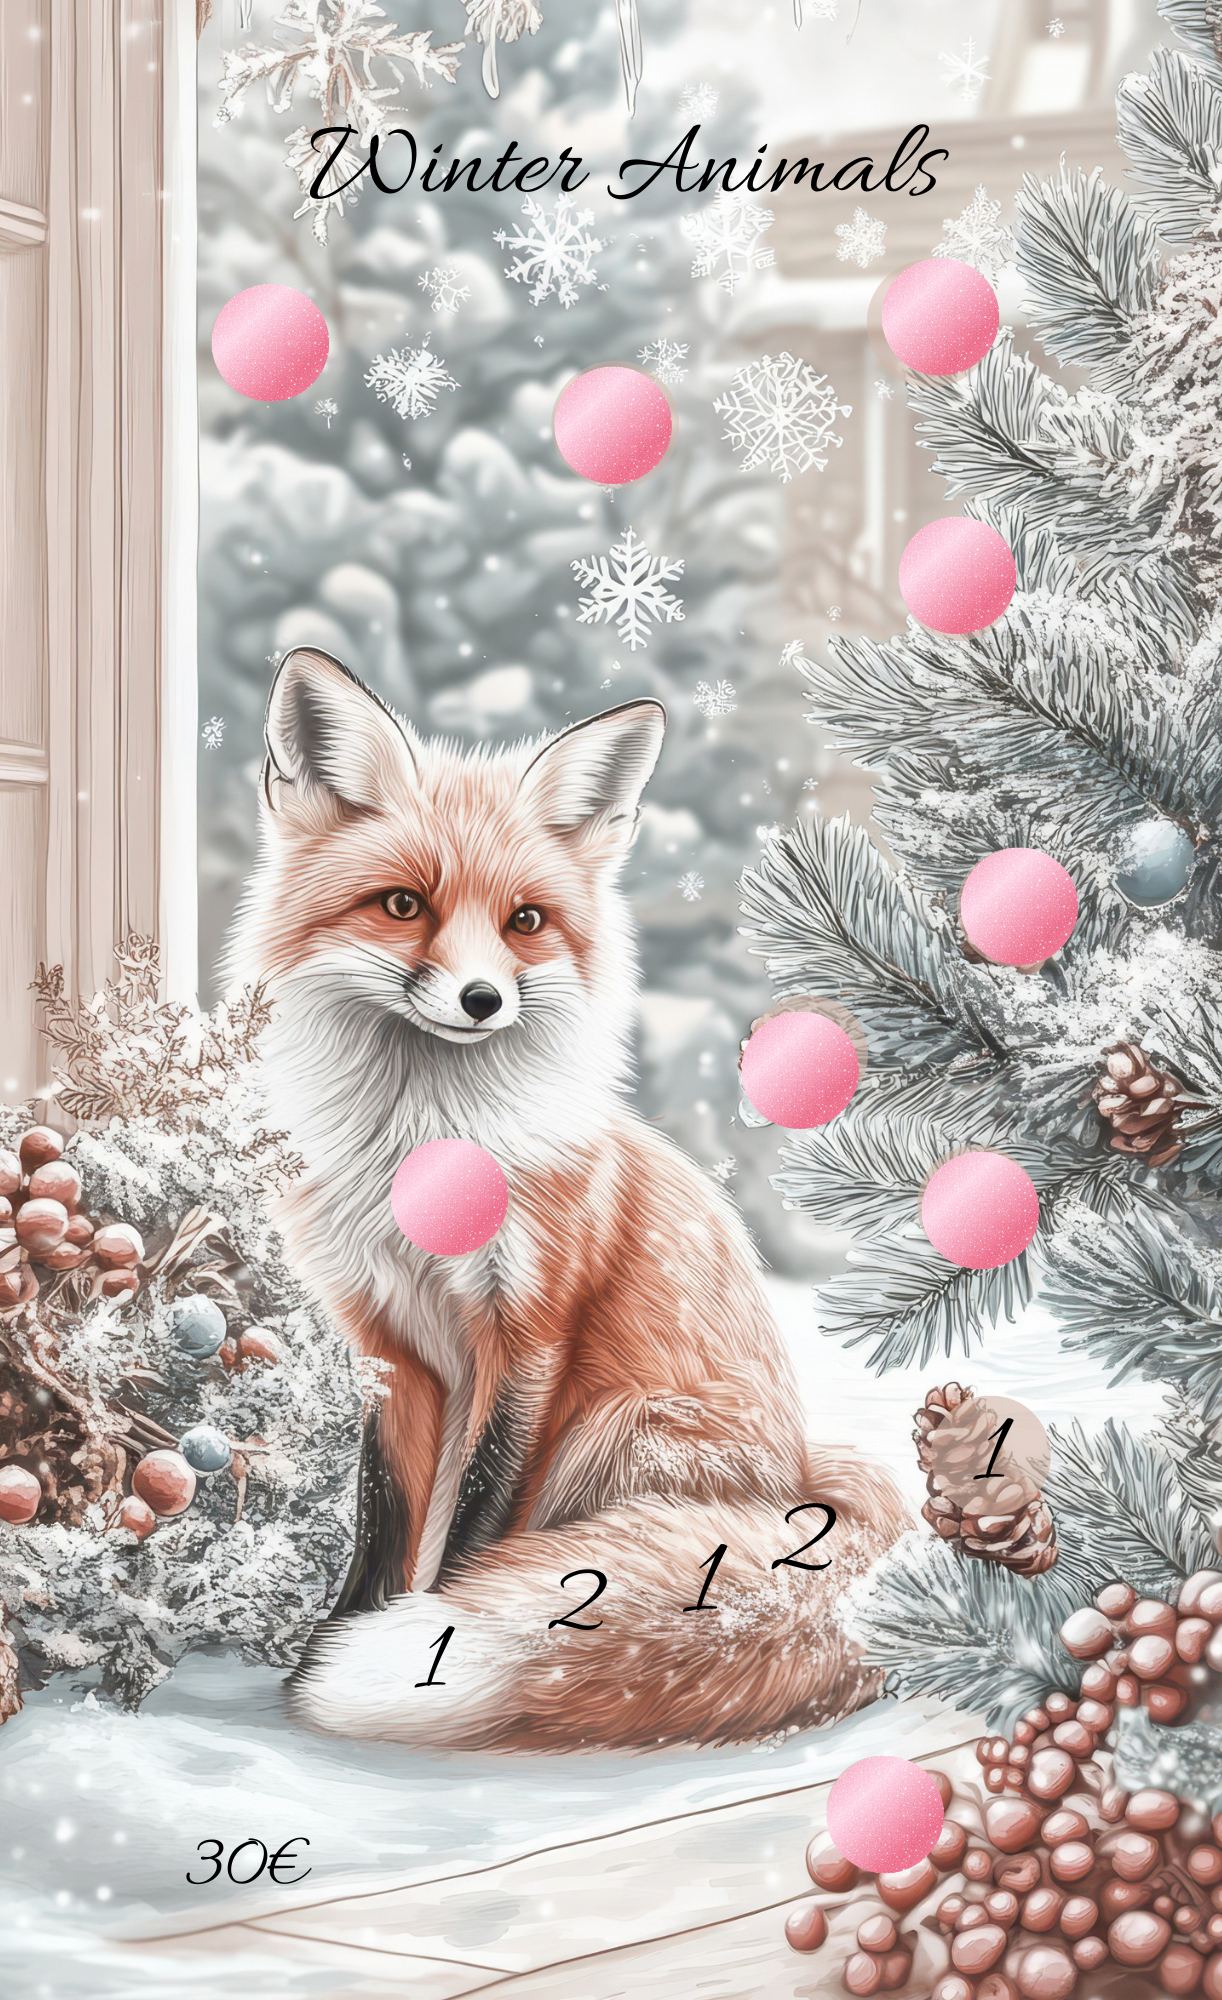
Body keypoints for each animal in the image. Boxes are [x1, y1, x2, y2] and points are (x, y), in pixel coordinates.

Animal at [229, 646, 907, 1751]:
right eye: (403, 905)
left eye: (525, 922)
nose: (481, 1000)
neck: (420, 1168)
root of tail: (805, 1473)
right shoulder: (386, 1344)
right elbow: (385, 1514)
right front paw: (338, 1640)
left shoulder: (533, 1332)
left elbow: (475, 1523)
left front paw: (427, 1643)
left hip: (616, 1426)